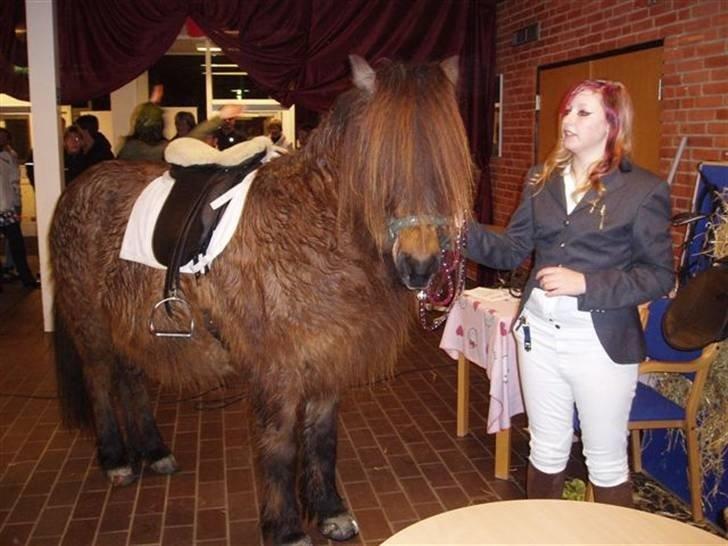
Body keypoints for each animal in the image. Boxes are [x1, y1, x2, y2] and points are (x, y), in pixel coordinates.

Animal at [49, 56, 472, 544]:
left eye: (445, 163)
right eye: (378, 163)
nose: (420, 264)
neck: (313, 227)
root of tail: (76, 189)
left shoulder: (327, 365)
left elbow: (323, 439)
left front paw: (329, 511)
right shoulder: (278, 372)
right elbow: (280, 447)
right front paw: (286, 528)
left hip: (132, 326)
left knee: (131, 378)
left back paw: (153, 451)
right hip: (93, 327)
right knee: (101, 381)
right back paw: (117, 460)